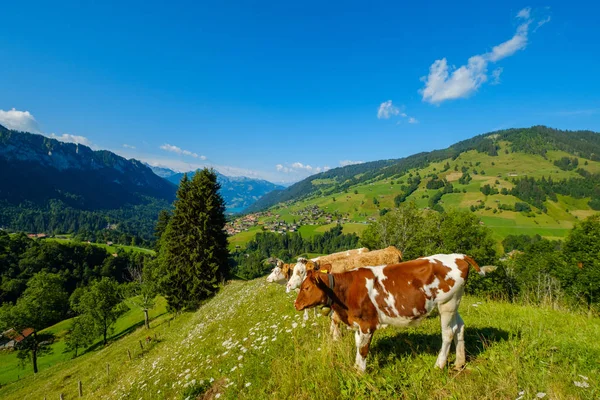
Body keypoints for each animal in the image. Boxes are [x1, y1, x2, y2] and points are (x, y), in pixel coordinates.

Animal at [292, 253, 486, 372]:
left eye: (306, 287)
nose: (296, 304)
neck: (347, 289)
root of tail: (458, 255)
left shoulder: (367, 323)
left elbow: (363, 349)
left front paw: (360, 373)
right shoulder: (357, 323)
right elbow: (358, 345)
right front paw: (356, 367)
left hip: (447, 304)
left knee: (448, 333)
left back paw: (439, 365)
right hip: (454, 304)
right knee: (459, 327)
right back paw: (459, 363)